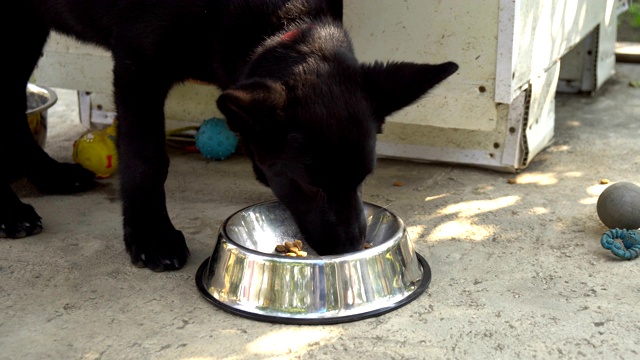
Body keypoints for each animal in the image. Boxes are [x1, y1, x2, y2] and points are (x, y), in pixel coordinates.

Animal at [2, 0, 458, 270]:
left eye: (364, 178)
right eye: (310, 184)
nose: (349, 249)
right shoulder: (137, 66)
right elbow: (148, 158)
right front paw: (152, 235)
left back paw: (50, 175)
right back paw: (11, 211)